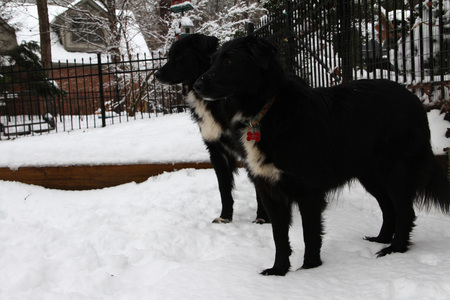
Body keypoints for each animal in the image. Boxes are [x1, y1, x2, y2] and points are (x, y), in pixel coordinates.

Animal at [155, 34, 268, 224]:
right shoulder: (216, 150)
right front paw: (225, 218)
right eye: (170, 56)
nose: (156, 75)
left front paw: (262, 218)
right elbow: (223, 188)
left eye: (180, 56)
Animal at [193, 36, 450, 276]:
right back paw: (382, 239)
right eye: (212, 61)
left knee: (405, 211)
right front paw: (279, 271)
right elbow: (279, 237)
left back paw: (395, 249)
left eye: (229, 61)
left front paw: (310, 271)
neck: (267, 110)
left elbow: (311, 234)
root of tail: (413, 98)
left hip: (395, 172)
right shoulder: (270, 190)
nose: (196, 85)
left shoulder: (309, 190)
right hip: (370, 175)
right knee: (389, 207)